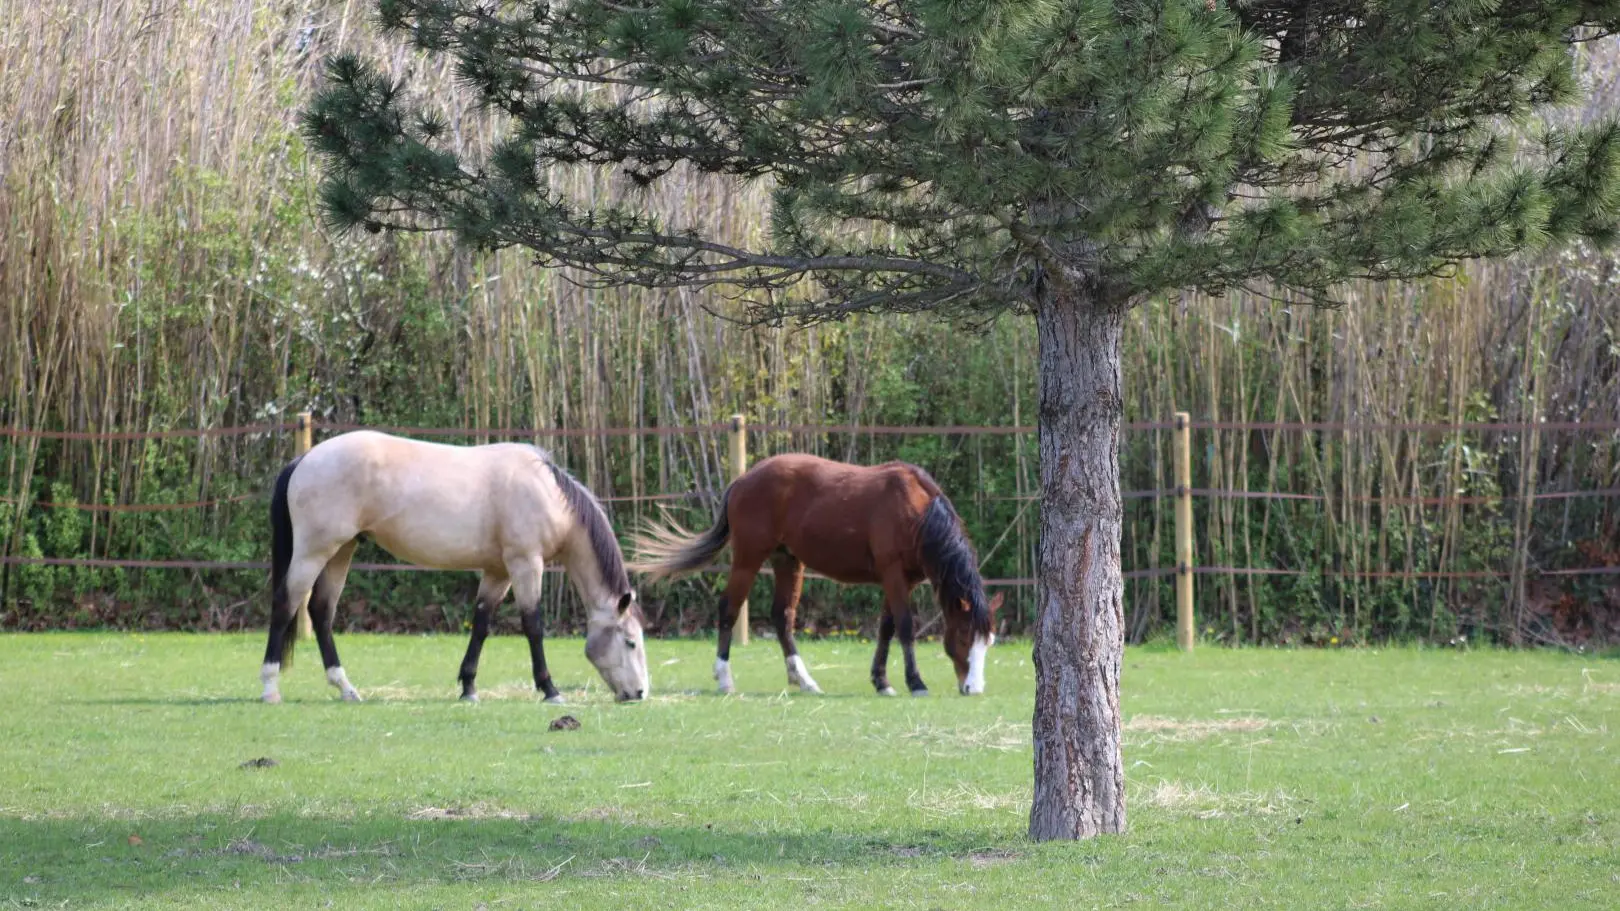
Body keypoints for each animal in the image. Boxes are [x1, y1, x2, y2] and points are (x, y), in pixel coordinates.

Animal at [260, 429, 649, 705]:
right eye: (630, 642)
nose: (640, 693)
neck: (547, 493)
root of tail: (305, 458)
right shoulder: (525, 563)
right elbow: (533, 625)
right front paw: (549, 689)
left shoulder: (498, 571)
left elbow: (481, 624)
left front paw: (468, 687)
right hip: (314, 552)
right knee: (285, 604)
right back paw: (270, 688)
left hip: (342, 551)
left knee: (321, 611)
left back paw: (345, 688)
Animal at [631, 453, 999, 697]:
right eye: (964, 635)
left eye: (988, 641)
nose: (974, 688)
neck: (917, 512)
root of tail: (744, 480)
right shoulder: (894, 575)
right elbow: (906, 627)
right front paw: (915, 682)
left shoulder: (899, 580)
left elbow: (887, 628)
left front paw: (881, 681)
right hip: (749, 559)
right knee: (729, 609)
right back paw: (724, 678)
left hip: (788, 561)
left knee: (782, 617)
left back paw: (803, 680)